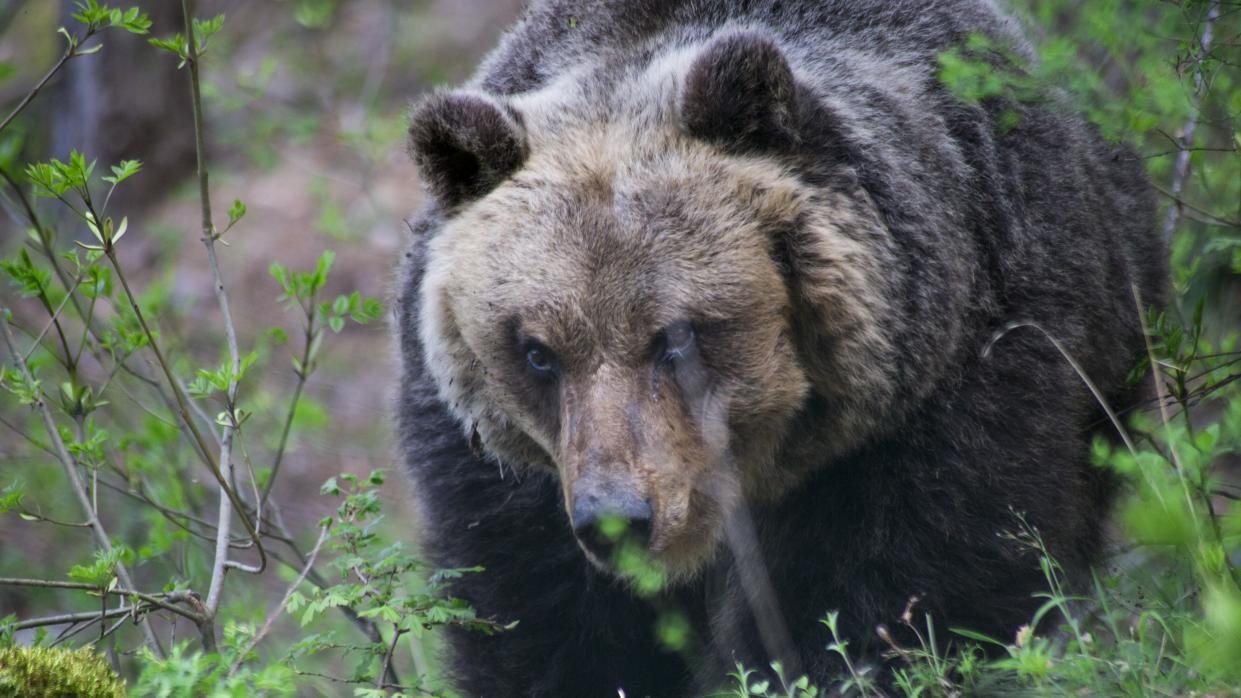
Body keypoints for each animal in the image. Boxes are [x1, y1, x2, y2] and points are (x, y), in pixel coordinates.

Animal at [394, 1, 1161, 690]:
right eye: (537, 351)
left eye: (675, 334)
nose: (616, 518)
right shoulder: (509, 481)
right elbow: (544, 619)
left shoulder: (949, 390)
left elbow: (905, 588)